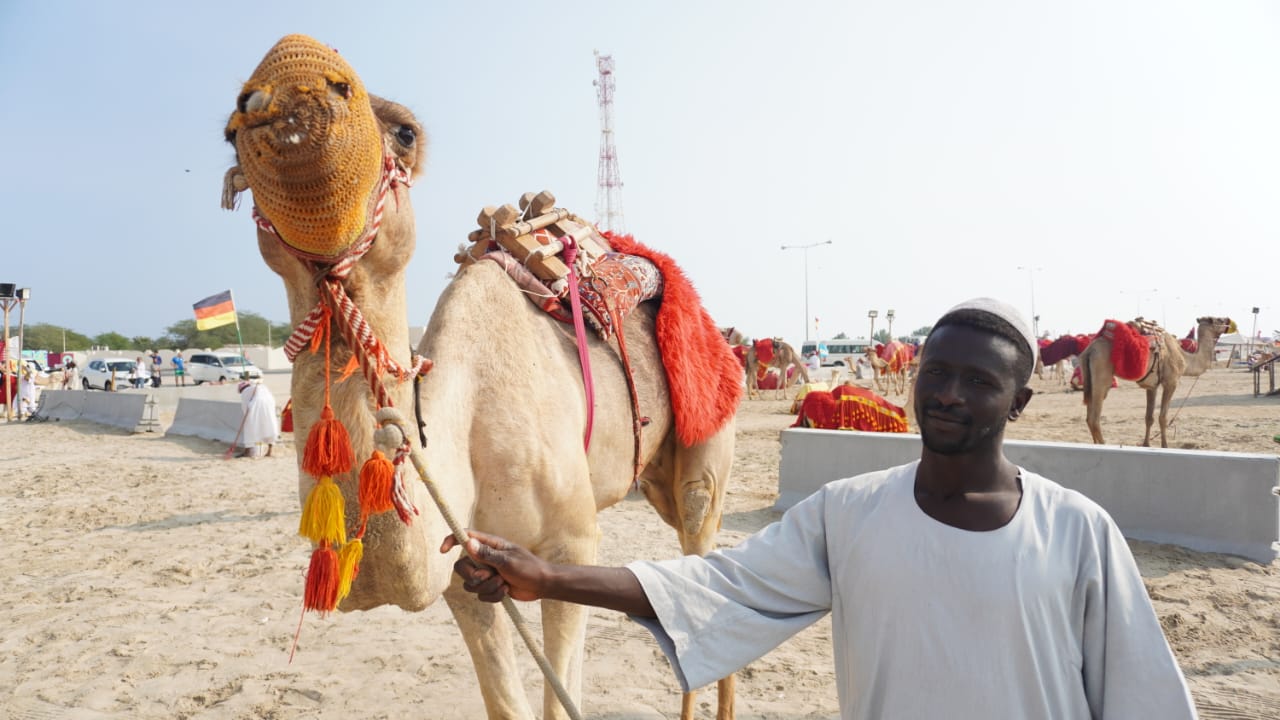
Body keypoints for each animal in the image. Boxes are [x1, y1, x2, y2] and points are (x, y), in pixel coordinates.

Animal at [225, 35, 737, 717]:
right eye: (229, 136)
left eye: (405, 132)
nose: (291, 74)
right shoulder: (464, 567)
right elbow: (505, 700)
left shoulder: (571, 546)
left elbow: (560, 694)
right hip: (650, 473)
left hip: (709, 425)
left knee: (704, 540)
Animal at [1080, 312, 1228, 443]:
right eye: (1219, 320)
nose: (1228, 320)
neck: (1185, 358)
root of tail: (1090, 350)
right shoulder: (1171, 382)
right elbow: (1163, 417)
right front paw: (1164, 445)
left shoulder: (1152, 386)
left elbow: (1149, 417)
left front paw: (1146, 444)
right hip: (1102, 375)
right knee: (1094, 418)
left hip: (1089, 377)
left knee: (1088, 417)